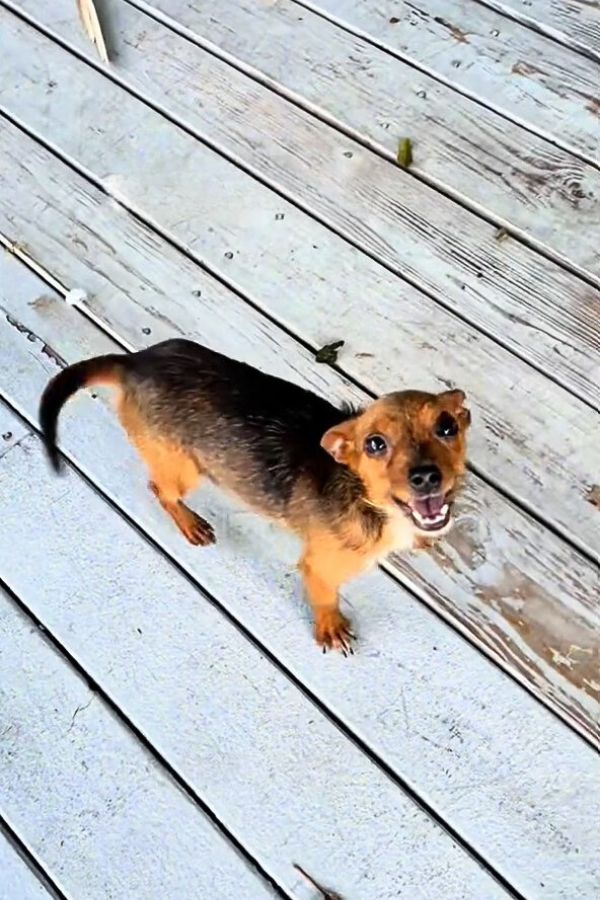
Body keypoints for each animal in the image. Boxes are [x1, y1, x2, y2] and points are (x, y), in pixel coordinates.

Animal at [38, 342, 474, 652]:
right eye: (375, 444)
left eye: (446, 427)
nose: (426, 477)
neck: (366, 498)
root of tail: (132, 363)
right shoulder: (319, 567)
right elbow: (326, 598)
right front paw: (330, 627)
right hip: (184, 469)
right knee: (160, 490)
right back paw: (189, 523)